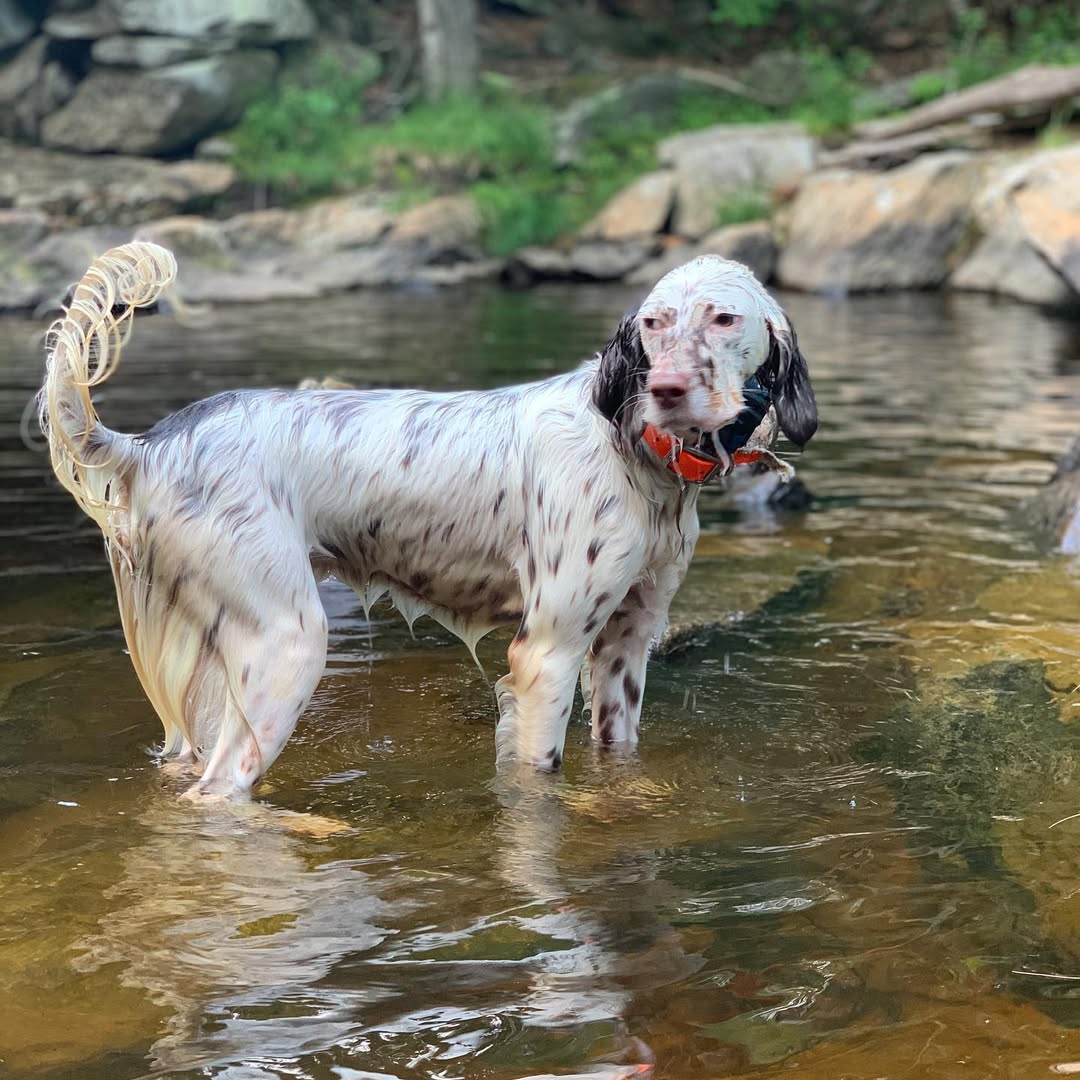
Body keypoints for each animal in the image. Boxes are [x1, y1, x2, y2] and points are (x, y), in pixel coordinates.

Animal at [40, 242, 816, 799]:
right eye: (654, 324)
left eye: (725, 318)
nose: (666, 389)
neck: (631, 448)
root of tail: (151, 443)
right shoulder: (548, 653)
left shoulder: (627, 644)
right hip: (286, 646)